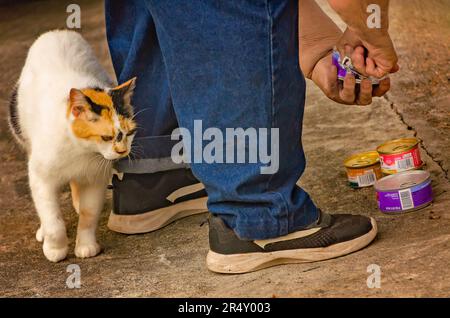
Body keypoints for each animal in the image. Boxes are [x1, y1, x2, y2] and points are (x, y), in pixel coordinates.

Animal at [7, 31, 136, 262]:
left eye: (129, 133)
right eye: (106, 137)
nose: (123, 151)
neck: (81, 151)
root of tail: (58, 32)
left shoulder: (96, 178)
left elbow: (89, 214)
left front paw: (86, 245)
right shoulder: (41, 178)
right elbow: (53, 221)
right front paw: (55, 249)